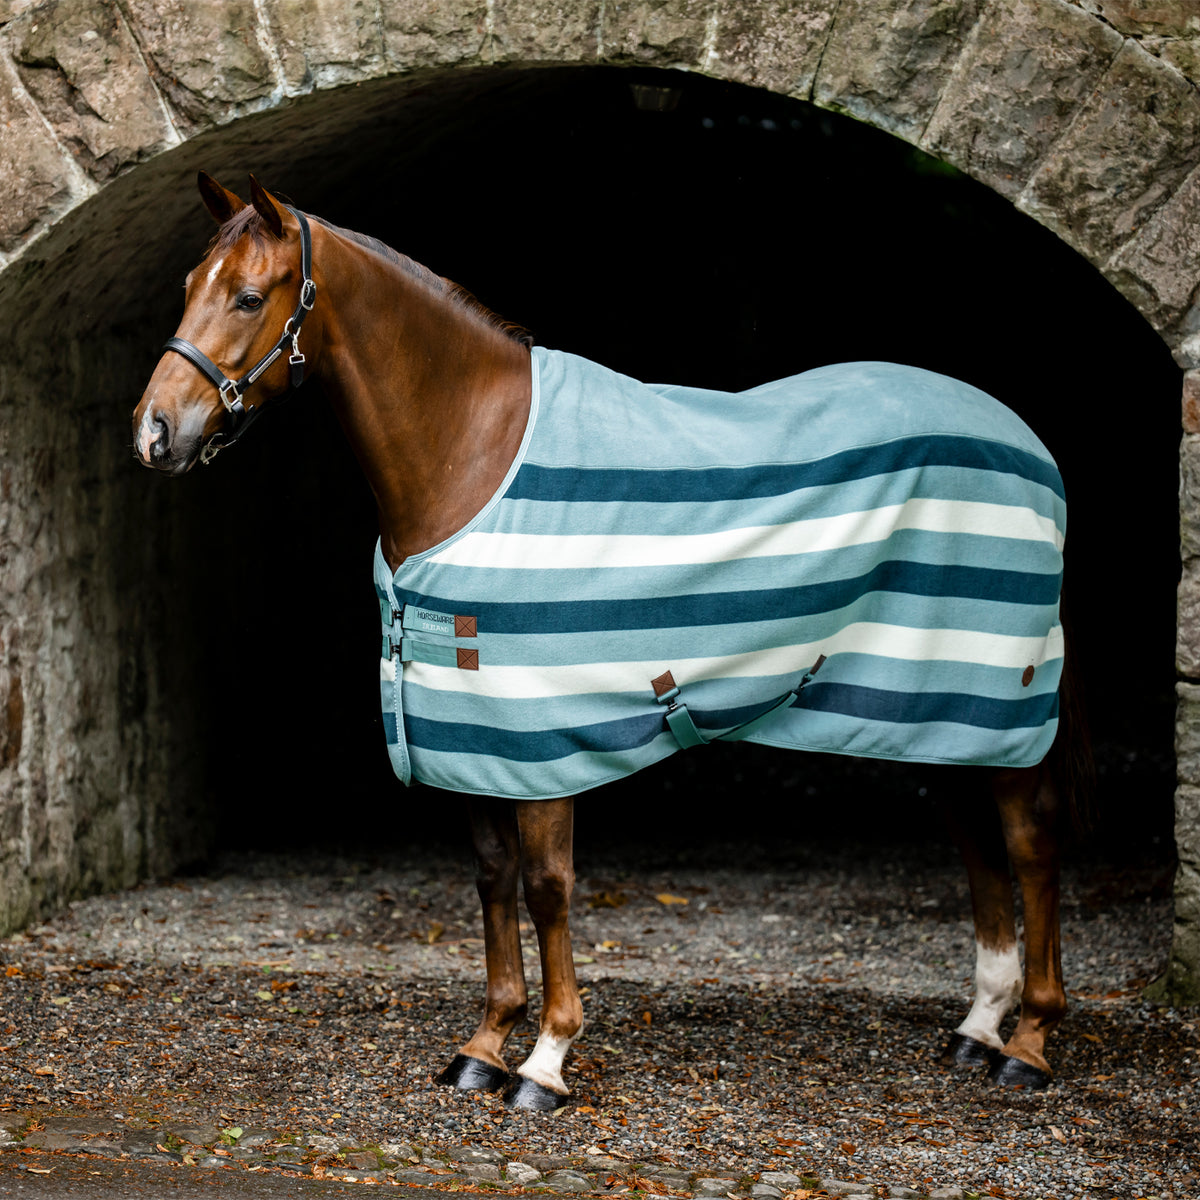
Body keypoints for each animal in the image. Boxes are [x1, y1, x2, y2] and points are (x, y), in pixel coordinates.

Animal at [133, 172, 1088, 1111]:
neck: (471, 453)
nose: (154, 432)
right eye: (185, 286)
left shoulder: (541, 739)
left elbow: (548, 888)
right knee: (975, 839)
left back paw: (1029, 1043)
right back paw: (978, 1027)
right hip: (929, 707)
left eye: (250, 296)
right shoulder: (467, 732)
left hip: (1001, 704)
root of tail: (1026, 441)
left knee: (1031, 842)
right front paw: (485, 1043)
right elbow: (493, 877)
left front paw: (546, 1061)